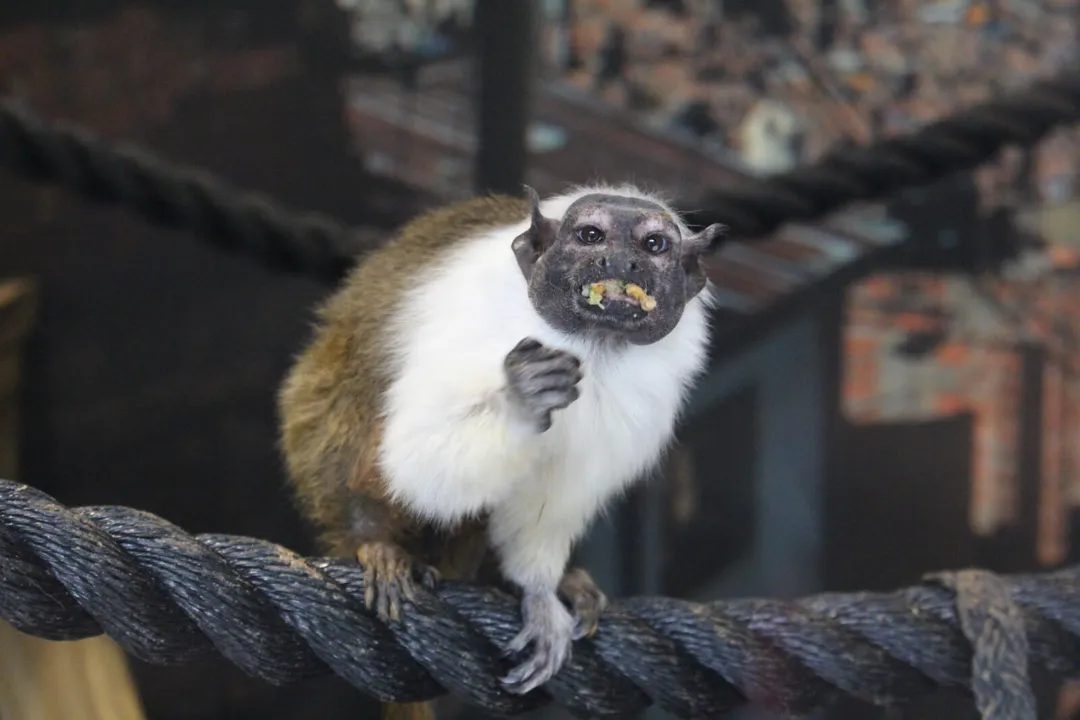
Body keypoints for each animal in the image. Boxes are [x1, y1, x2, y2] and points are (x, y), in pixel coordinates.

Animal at [277, 183, 724, 719]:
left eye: (653, 245)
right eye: (590, 236)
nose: (622, 261)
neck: (593, 344)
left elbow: (552, 503)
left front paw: (539, 590)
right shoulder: (479, 329)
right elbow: (413, 457)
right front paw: (518, 401)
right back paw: (375, 540)